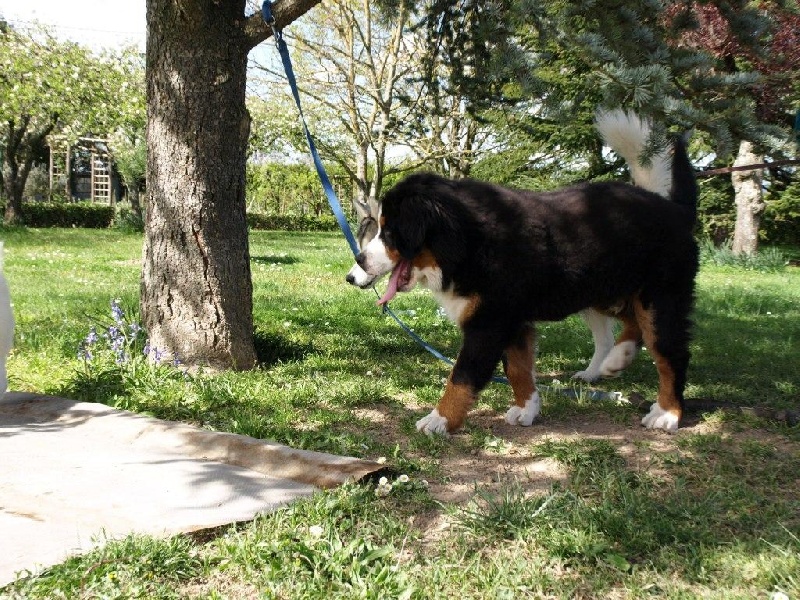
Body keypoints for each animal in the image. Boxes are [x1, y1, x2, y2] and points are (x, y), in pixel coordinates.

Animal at [346, 110, 696, 434]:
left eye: (390, 233)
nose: (357, 265)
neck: (467, 244)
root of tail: (674, 209)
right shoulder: (513, 322)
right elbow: (517, 369)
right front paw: (527, 408)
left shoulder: (489, 322)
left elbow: (462, 376)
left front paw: (439, 419)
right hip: (605, 291)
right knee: (632, 324)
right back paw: (616, 359)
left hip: (659, 299)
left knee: (670, 354)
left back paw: (666, 412)